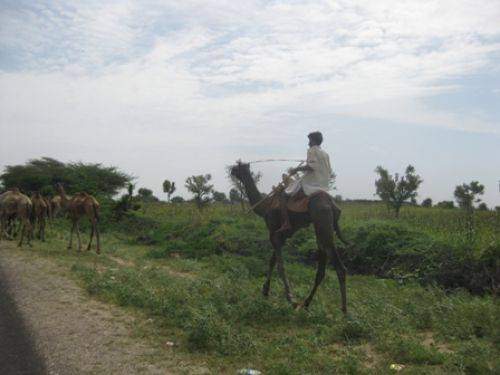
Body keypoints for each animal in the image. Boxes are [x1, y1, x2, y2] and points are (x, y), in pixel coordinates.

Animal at [229, 164, 348, 314]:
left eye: (238, 166)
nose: (231, 170)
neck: (265, 206)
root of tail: (333, 205)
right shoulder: (282, 236)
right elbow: (272, 261)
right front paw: (265, 290)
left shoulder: (273, 232)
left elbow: (280, 265)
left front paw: (291, 298)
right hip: (322, 228)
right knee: (321, 269)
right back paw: (307, 303)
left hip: (323, 221)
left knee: (339, 266)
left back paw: (343, 310)